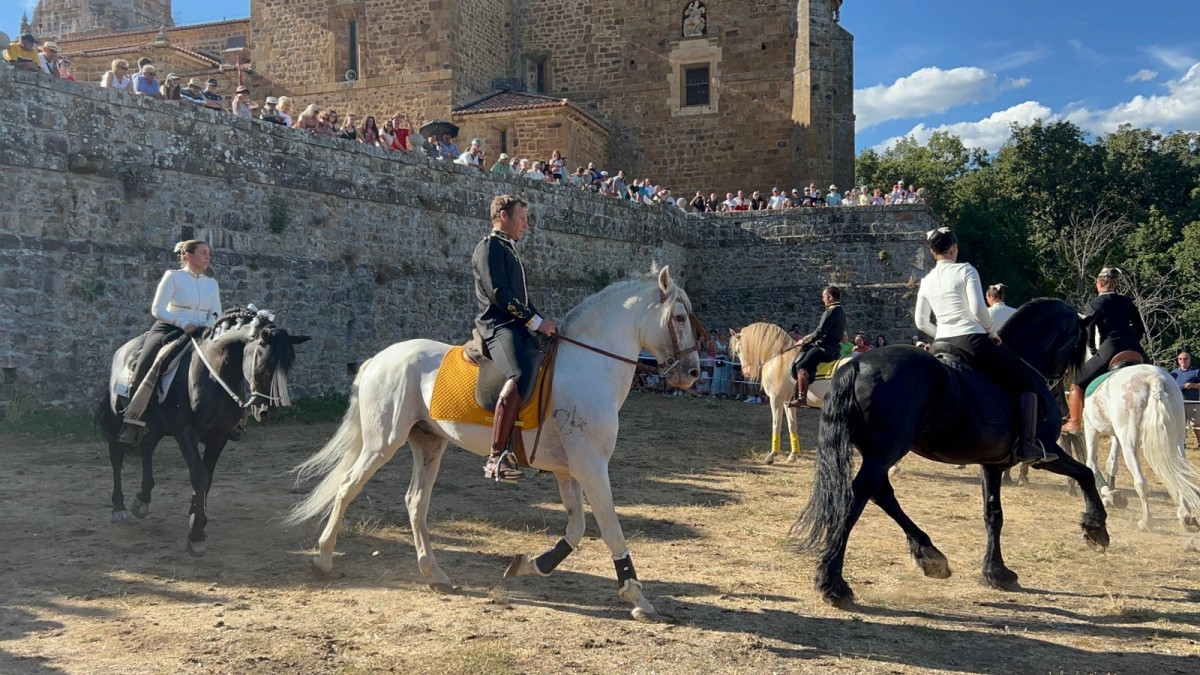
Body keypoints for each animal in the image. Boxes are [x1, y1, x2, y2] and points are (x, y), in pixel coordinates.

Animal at [97, 309, 309, 552]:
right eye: (263, 366)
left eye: (287, 368)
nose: (268, 414)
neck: (213, 377)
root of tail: (122, 351)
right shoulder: (185, 433)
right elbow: (198, 475)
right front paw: (196, 534)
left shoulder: (219, 436)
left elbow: (207, 478)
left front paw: (196, 517)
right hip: (119, 418)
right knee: (117, 454)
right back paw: (118, 507)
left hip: (160, 426)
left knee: (146, 445)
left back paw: (142, 499)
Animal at [285, 267, 700, 619]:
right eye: (680, 318)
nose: (694, 372)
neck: (589, 364)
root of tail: (378, 359)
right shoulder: (591, 465)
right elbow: (610, 528)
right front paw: (637, 596)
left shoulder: (569, 469)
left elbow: (576, 529)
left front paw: (531, 564)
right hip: (382, 443)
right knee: (347, 488)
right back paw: (322, 560)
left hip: (429, 444)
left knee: (415, 502)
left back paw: (434, 573)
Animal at [729, 321, 854, 461]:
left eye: (738, 350)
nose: (746, 372)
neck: (778, 358)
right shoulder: (787, 402)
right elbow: (792, 425)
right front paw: (793, 455)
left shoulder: (775, 399)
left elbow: (776, 424)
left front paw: (772, 455)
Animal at [792, 297, 1108, 605]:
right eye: (1080, 344)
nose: (1065, 408)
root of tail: (856, 364)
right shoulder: (1046, 453)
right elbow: (1085, 473)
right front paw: (1096, 529)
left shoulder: (992, 464)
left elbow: (993, 514)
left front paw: (996, 572)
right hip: (885, 452)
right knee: (859, 496)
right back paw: (833, 582)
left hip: (877, 453)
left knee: (881, 494)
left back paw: (929, 555)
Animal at [1080, 362, 1200, 530]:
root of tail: (1154, 378)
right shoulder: (1116, 436)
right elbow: (1112, 464)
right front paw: (1110, 496)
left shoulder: (1091, 428)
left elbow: (1091, 463)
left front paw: (1109, 494)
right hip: (1177, 441)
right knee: (1181, 475)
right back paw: (1185, 515)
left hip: (1129, 444)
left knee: (1141, 482)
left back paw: (1146, 521)